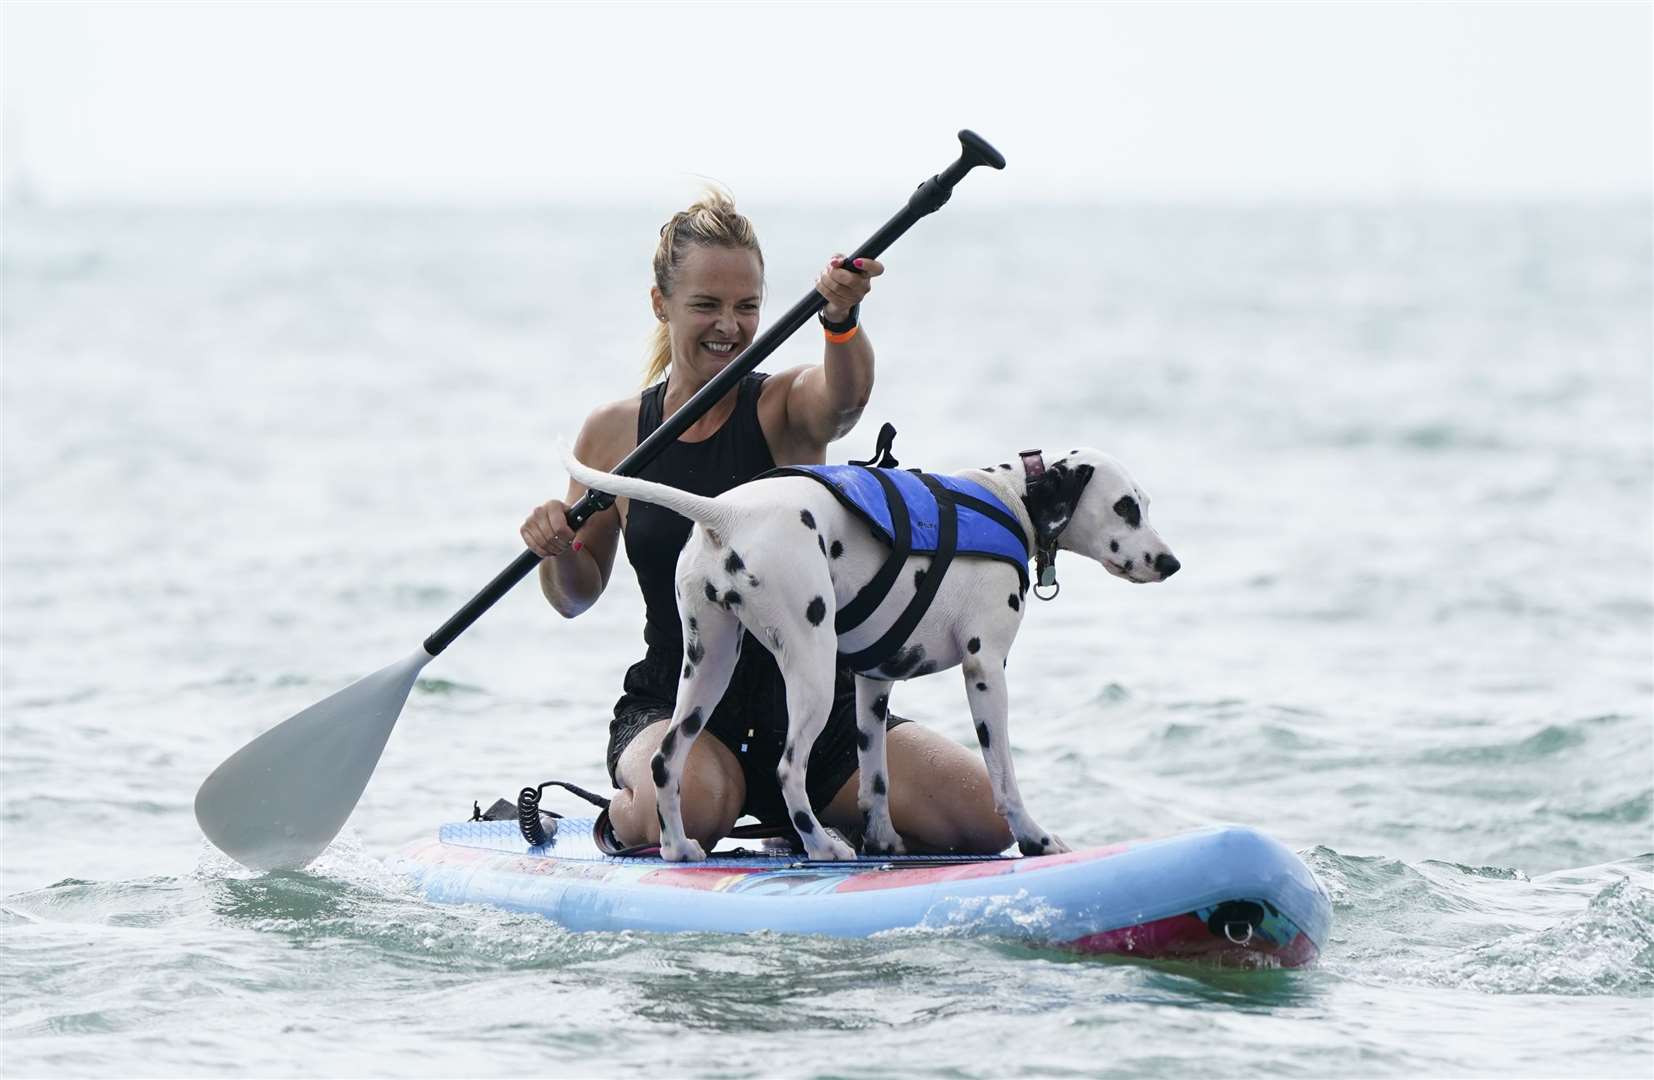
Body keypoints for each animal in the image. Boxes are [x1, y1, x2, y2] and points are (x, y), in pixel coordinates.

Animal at [565, 443, 1177, 860]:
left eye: (1145, 504)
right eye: (1125, 507)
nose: (1171, 563)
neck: (1010, 501)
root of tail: (729, 514)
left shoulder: (874, 682)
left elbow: (875, 776)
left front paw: (882, 839)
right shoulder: (986, 670)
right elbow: (1003, 776)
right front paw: (1034, 837)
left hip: (707, 670)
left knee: (667, 761)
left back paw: (679, 848)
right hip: (809, 667)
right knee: (789, 769)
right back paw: (821, 847)